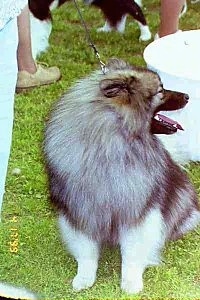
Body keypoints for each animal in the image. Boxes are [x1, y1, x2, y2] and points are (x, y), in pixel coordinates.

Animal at [44, 59, 200, 296]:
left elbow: (132, 253)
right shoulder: (81, 209)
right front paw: (84, 278)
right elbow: (87, 251)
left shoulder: (138, 210)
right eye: (161, 91)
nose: (188, 96)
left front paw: (131, 283)